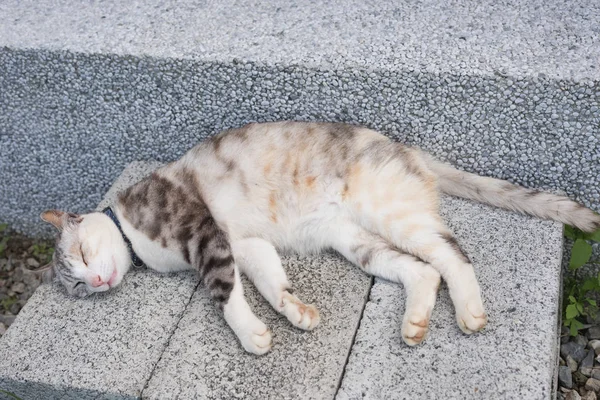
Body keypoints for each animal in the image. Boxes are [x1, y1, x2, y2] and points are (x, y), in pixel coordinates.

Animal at [35, 121, 596, 354]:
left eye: (82, 253)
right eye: (78, 285)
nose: (96, 283)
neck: (134, 235)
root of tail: (411, 152)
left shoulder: (205, 235)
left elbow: (224, 295)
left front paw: (251, 335)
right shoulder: (244, 244)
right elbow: (268, 282)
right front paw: (294, 311)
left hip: (391, 213)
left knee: (453, 255)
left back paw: (470, 312)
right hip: (355, 241)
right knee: (421, 271)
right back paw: (414, 323)